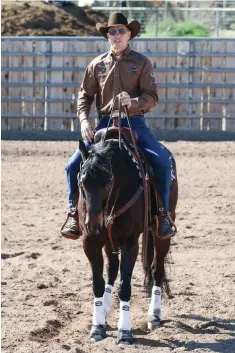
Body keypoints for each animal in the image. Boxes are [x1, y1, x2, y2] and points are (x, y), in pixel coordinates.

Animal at [78, 135, 177, 344]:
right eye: (82, 181)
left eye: (107, 182)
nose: (93, 225)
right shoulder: (90, 242)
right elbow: (98, 283)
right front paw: (97, 327)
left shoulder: (130, 242)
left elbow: (125, 286)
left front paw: (124, 332)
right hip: (109, 241)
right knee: (112, 268)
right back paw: (105, 309)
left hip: (160, 234)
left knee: (157, 269)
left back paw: (154, 315)